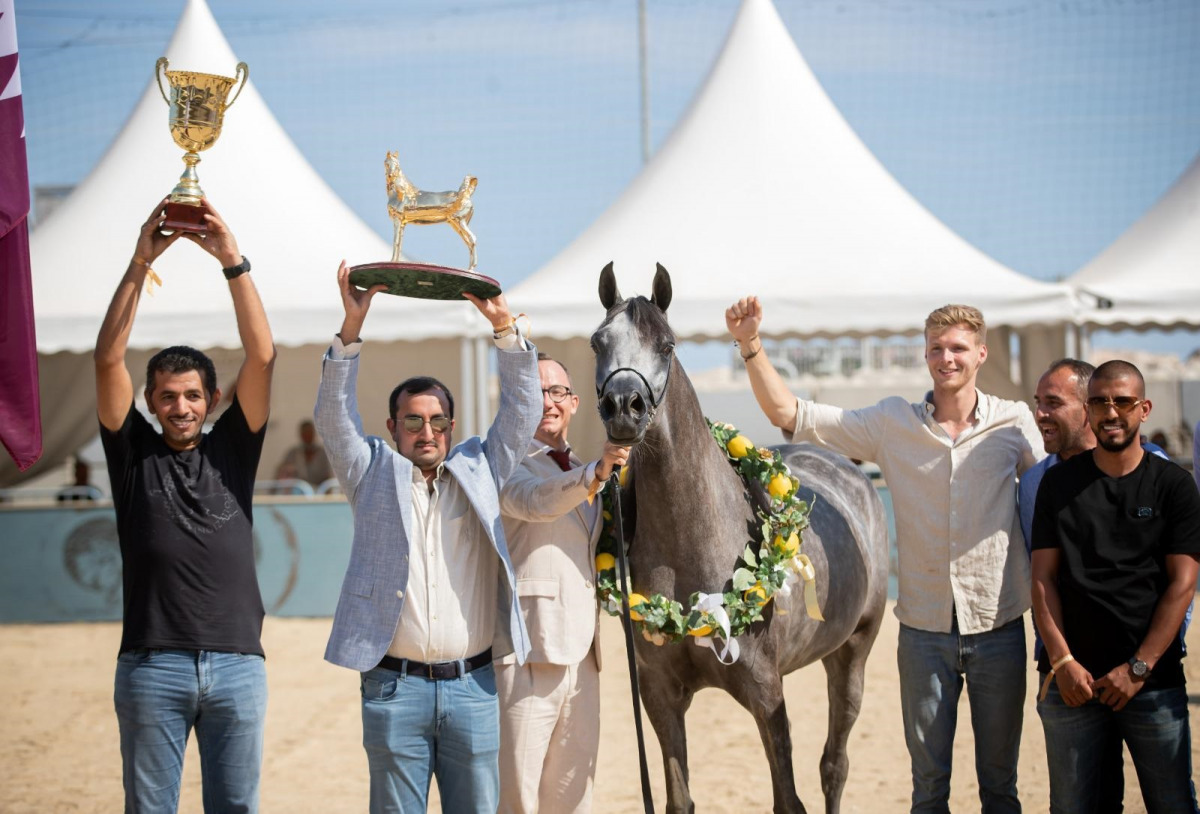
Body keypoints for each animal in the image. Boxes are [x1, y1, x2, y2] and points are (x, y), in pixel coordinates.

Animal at [592, 264, 892, 811]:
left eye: (666, 345)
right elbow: (679, 799)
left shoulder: (766, 694)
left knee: (834, 765)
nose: (624, 406)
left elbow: (789, 799)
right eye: (597, 341)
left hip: (853, 653)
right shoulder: (660, 697)